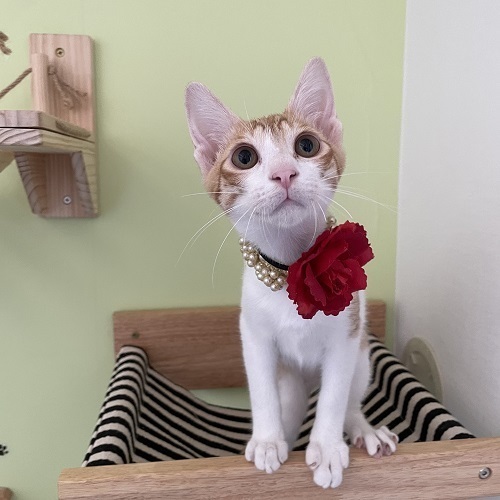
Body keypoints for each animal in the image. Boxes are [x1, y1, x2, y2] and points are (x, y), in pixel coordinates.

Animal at [185, 58, 398, 489]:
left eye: (306, 146)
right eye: (244, 157)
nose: (284, 173)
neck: (290, 269)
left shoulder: (346, 337)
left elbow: (334, 398)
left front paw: (328, 447)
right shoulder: (254, 335)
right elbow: (261, 390)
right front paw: (267, 440)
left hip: (363, 359)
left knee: (350, 398)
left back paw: (364, 430)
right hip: (293, 383)